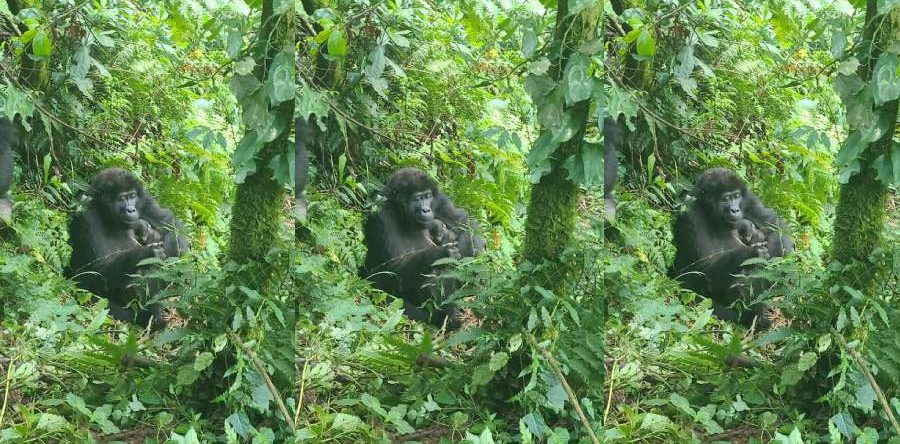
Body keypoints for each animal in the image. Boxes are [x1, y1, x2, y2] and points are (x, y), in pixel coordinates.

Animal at [66, 168, 189, 332]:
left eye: (132, 196)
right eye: (121, 199)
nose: (131, 209)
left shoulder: (145, 199)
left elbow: (171, 224)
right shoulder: (86, 216)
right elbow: (99, 270)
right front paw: (147, 254)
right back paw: (153, 316)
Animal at [360, 166, 486, 330]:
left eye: (427, 196)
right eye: (417, 199)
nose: (426, 210)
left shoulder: (440, 200)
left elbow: (465, 223)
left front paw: (471, 261)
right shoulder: (381, 214)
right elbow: (393, 268)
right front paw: (440, 254)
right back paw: (449, 315)